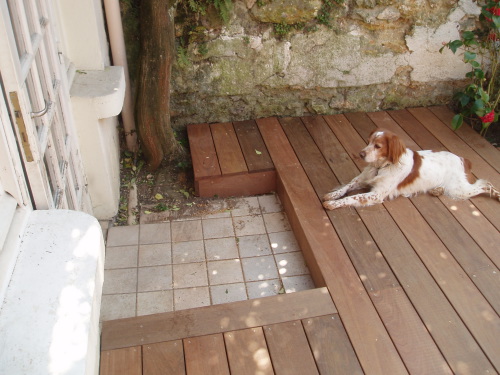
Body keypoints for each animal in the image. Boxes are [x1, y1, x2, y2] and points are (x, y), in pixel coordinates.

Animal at [322, 129, 498, 212]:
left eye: (378, 146)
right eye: (368, 141)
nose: (361, 154)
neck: (382, 167)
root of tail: (462, 158)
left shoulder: (376, 194)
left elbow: (352, 197)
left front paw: (332, 204)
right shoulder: (362, 179)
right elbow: (346, 187)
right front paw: (332, 195)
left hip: (459, 189)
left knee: (486, 185)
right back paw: (436, 190)